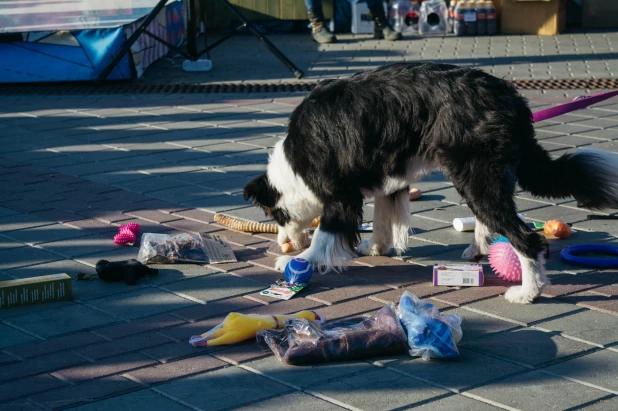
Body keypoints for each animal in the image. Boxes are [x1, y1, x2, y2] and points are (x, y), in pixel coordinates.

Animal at [242, 62, 616, 304]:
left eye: (275, 216)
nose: (282, 243)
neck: (295, 164)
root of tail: (511, 99)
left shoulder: (341, 195)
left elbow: (325, 235)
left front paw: (298, 260)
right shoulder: (389, 179)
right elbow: (382, 217)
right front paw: (376, 247)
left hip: (476, 173)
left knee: (526, 237)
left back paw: (528, 292)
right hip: (477, 176)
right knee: (490, 217)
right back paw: (478, 248)